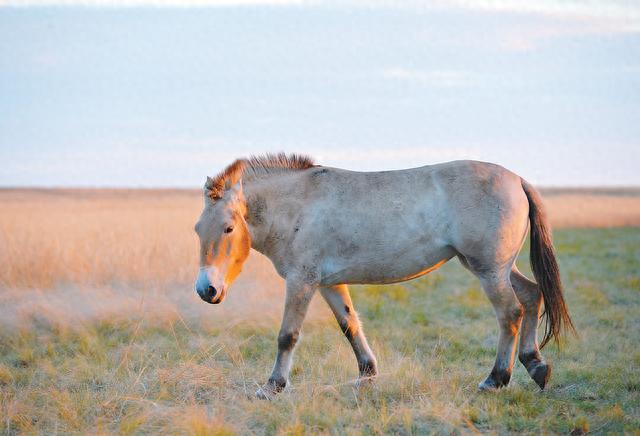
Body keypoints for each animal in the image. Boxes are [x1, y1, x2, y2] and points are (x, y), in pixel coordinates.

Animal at [192, 153, 572, 398]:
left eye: (228, 228)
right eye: (198, 229)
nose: (206, 290)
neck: (297, 204)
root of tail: (517, 180)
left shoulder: (302, 282)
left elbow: (287, 336)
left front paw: (272, 387)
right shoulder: (329, 283)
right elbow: (350, 325)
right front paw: (367, 375)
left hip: (490, 271)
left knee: (511, 313)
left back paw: (495, 380)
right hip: (498, 268)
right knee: (532, 295)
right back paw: (535, 366)